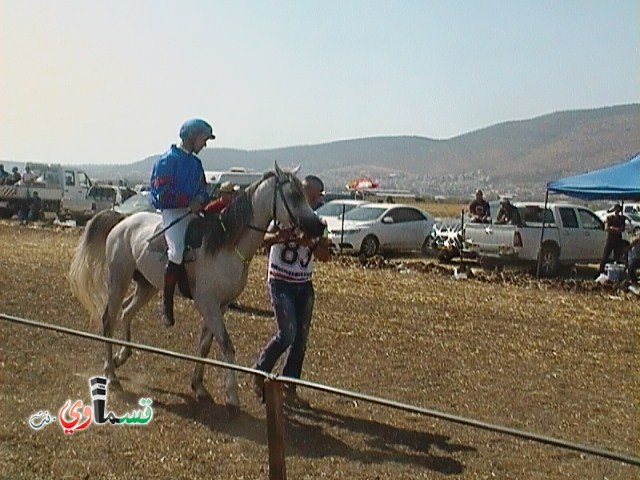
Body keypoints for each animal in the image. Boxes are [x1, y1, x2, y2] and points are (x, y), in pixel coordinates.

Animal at [70, 164, 324, 404]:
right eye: (293, 194)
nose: (319, 226)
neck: (225, 245)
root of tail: (123, 221)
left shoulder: (220, 305)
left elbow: (205, 345)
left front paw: (199, 385)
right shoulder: (208, 303)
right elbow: (226, 344)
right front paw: (232, 395)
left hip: (147, 286)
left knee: (126, 312)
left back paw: (121, 357)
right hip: (118, 280)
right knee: (108, 319)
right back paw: (111, 374)